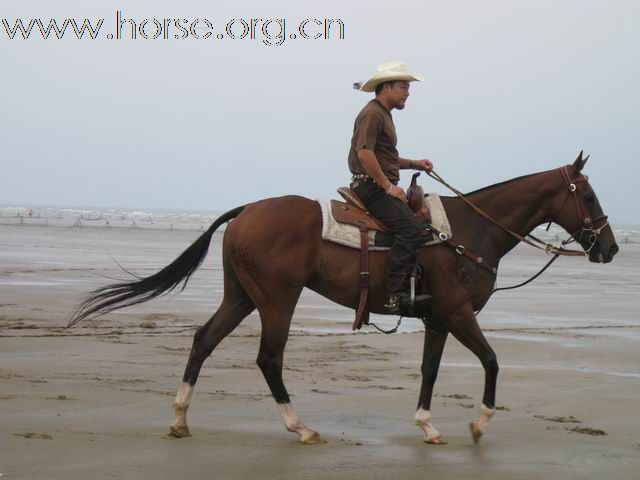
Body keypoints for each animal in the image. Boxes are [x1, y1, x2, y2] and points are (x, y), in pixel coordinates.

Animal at [71, 153, 620, 442]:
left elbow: (430, 370)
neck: (469, 232)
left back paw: (181, 418)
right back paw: (300, 427)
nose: (612, 248)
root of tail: (247, 209)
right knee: (269, 358)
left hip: (240, 296)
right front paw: (480, 422)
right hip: (277, 299)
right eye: (590, 196)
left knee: (203, 340)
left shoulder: (438, 319)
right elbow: (491, 361)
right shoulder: (458, 312)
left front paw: (427, 426)